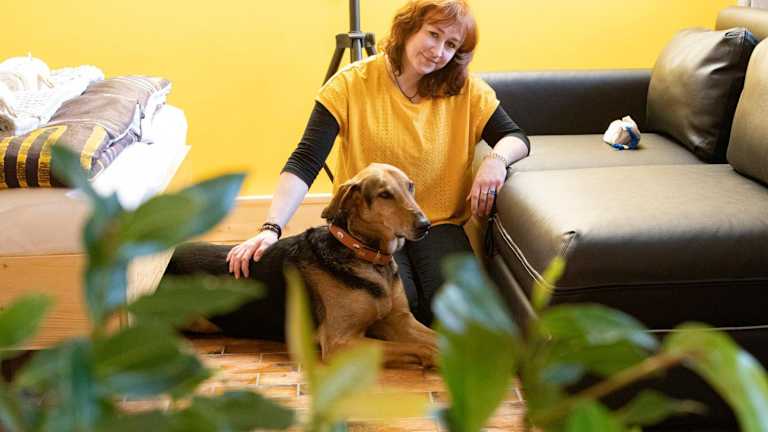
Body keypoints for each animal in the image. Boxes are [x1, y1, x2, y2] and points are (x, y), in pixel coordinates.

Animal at [166, 163, 438, 368]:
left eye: (410, 186)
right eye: (384, 195)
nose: (425, 225)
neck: (364, 254)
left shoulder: (400, 320)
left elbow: (436, 337)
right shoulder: (339, 342)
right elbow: (422, 347)